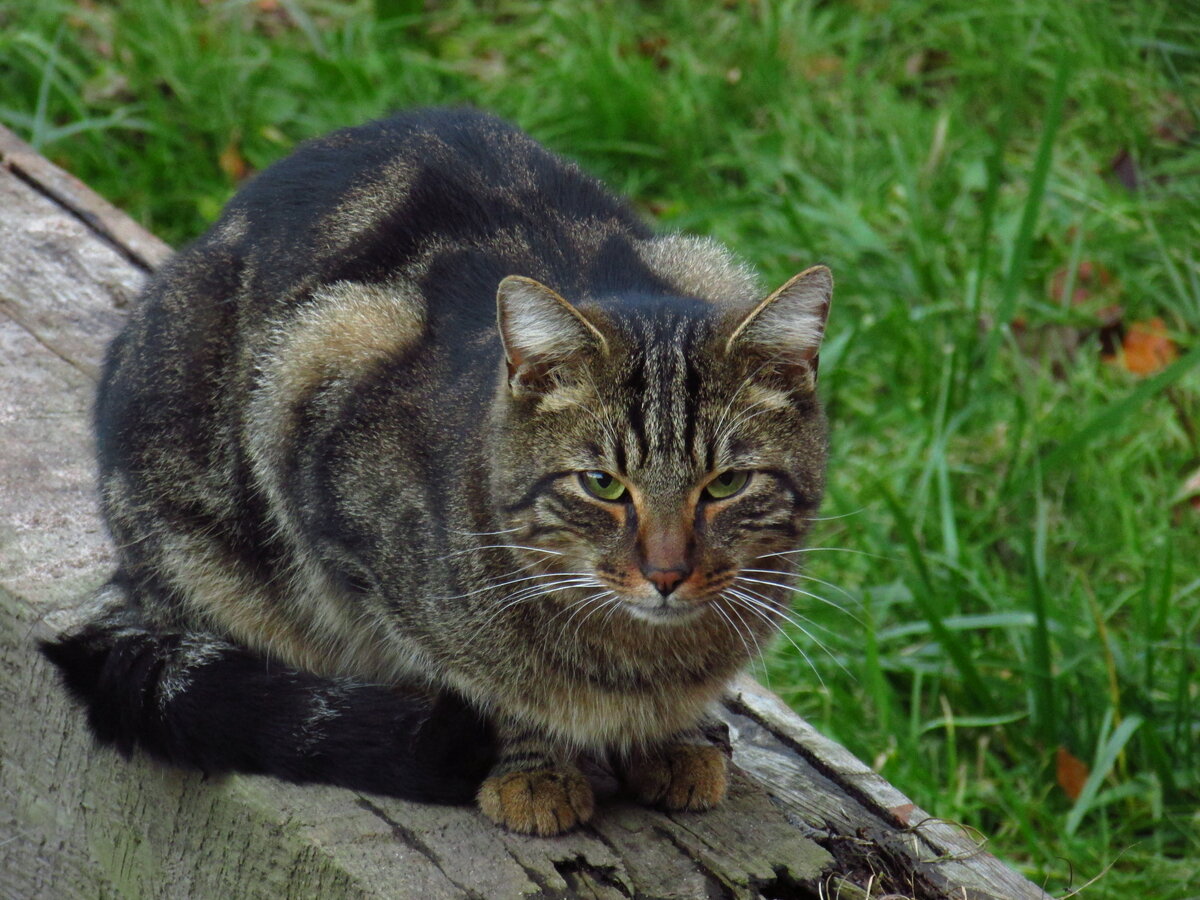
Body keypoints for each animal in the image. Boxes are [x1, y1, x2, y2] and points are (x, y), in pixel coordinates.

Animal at [44, 111, 835, 840]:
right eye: (602, 485)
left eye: (726, 485)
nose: (667, 573)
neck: (638, 659)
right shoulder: (323, 428)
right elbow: (467, 676)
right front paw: (532, 765)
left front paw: (676, 737)